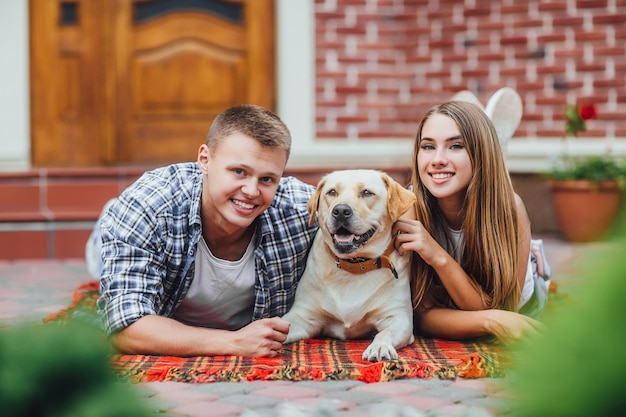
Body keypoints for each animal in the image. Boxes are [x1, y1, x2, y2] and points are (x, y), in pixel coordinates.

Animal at [282, 169, 414, 360]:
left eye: (366, 193)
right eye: (332, 192)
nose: (341, 210)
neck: (354, 265)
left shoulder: (399, 316)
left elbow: (385, 332)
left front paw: (380, 346)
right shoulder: (303, 315)